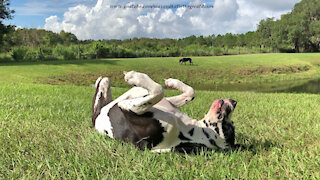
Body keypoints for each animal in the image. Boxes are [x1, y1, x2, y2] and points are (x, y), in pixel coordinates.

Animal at [91, 71, 236, 153]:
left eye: (227, 127)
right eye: (231, 124)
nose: (234, 102)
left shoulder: (129, 110)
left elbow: (158, 90)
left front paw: (136, 77)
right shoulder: (169, 104)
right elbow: (190, 92)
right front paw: (173, 82)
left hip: (99, 112)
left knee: (98, 100)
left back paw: (103, 83)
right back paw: (101, 81)